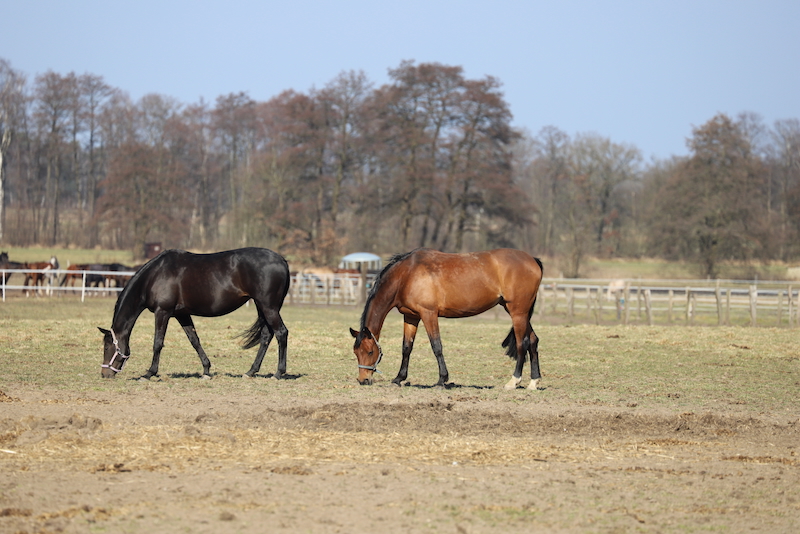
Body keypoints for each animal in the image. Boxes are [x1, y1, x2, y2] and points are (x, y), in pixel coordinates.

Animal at [98, 247, 290, 380]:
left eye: (107, 347)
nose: (104, 374)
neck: (154, 276)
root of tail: (282, 260)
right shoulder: (182, 315)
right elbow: (194, 341)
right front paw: (206, 370)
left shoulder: (162, 312)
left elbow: (157, 343)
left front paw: (149, 373)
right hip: (262, 307)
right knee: (266, 336)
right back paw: (250, 371)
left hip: (269, 307)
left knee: (281, 333)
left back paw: (278, 373)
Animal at [350, 248, 544, 389]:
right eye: (356, 352)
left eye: (370, 352)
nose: (363, 380)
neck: (407, 275)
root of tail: (533, 259)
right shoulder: (411, 316)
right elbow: (406, 348)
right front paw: (399, 378)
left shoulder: (428, 314)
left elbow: (437, 346)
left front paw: (442, 380)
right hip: (520, 313)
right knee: (533, 340)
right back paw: (534, 382)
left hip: (517, 312)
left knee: (522, 343)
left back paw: (513, 381)